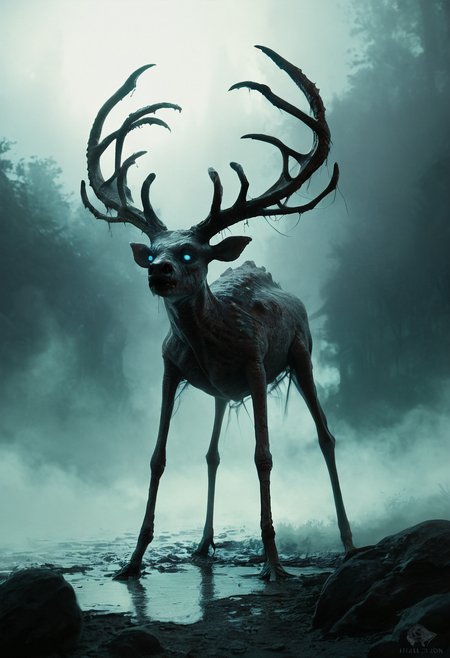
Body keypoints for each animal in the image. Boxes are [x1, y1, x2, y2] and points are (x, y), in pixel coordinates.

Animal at [81, 46, 355, 581]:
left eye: (191, 252)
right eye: (153, 250)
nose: (158, 271)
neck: (210, 341)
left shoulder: (254, 364)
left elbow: (264, 456)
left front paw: (273, 563)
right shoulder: (171, 369)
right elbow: (158, 458)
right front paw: (132, 561)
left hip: (301, 354)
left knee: (327, 436)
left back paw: (349, 543)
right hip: (221, 397)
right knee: (211, 453)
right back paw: (204, 544)